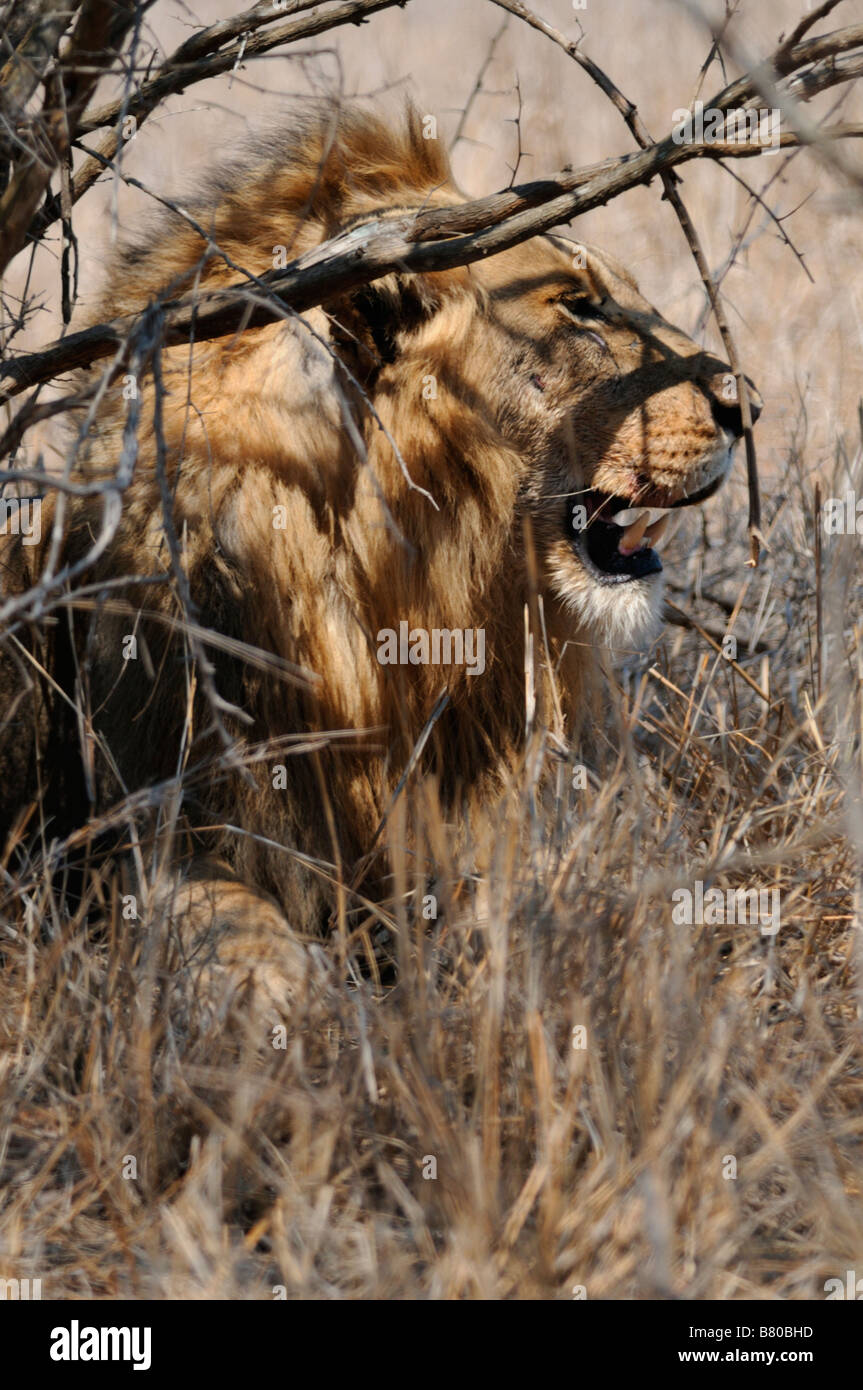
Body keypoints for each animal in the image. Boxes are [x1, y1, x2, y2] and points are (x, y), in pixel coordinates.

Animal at [0, 104, 761, 1008]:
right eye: (579, 308)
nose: (747, 405)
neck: (412, 587)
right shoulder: (147, 833)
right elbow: (231, 927)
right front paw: (303, 1013)